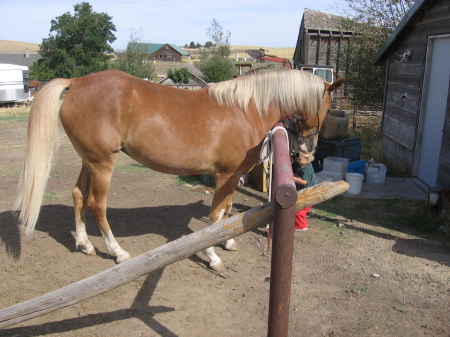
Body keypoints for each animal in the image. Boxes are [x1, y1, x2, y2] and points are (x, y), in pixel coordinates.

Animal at [14, 68, 344, 270]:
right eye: (328, 105)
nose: (308, 148)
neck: (245, 108)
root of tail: (77, 82)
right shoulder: (225, 175)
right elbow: (215, 215)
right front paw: (212, 254)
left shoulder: (232, 177)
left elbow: (226, 211)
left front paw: (227, 241)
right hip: (102, 163)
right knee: (97, 204)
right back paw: (118, 252)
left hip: (88, 161)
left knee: (78, 196)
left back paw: (84, 244)